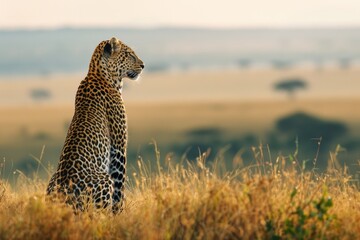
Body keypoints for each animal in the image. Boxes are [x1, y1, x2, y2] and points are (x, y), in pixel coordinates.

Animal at [45, 36, 144, 213]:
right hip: (103, 179)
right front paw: (121, 214)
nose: (143, 65)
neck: (99, 74)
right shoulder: (118, 148)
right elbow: (120, 189)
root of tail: (63, 196)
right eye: (129, 54)